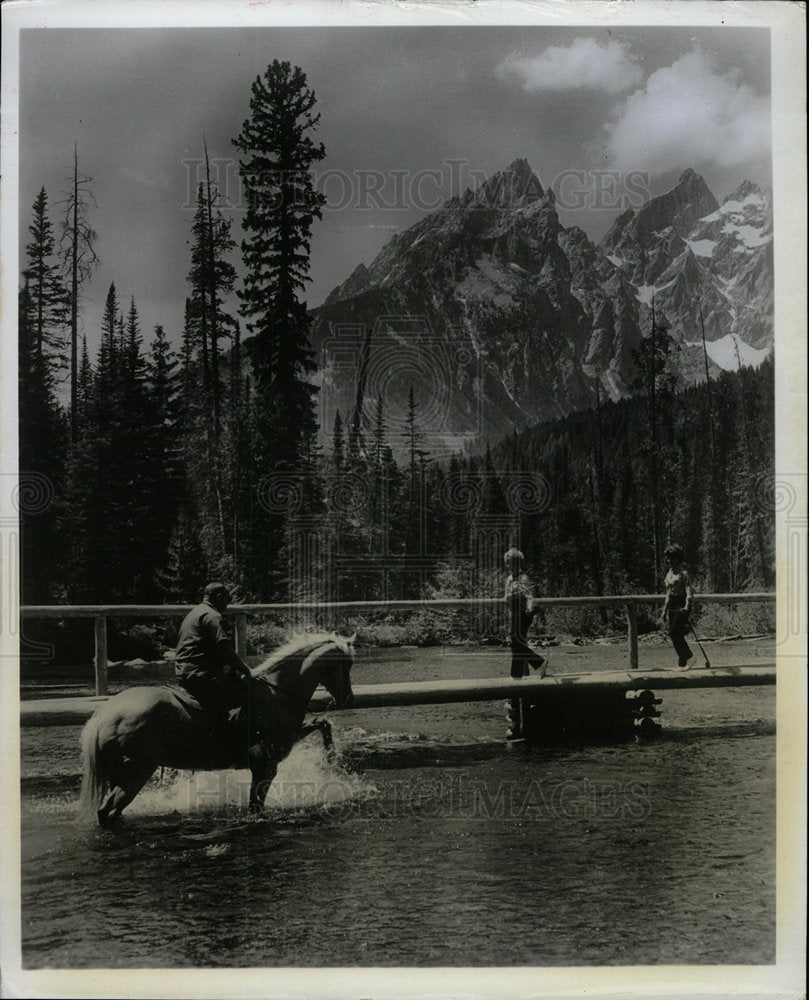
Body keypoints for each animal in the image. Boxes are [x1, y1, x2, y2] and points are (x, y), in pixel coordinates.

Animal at [80, 636, 356, 824]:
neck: (276, 693)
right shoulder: (266, 767)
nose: (348, 699)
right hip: (135, 775)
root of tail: (104, 715)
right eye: (347, 664)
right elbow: (255, 807)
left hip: (121, 776)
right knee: (107, 811)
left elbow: (322, 723)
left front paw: (331, 758)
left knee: (110, 812)